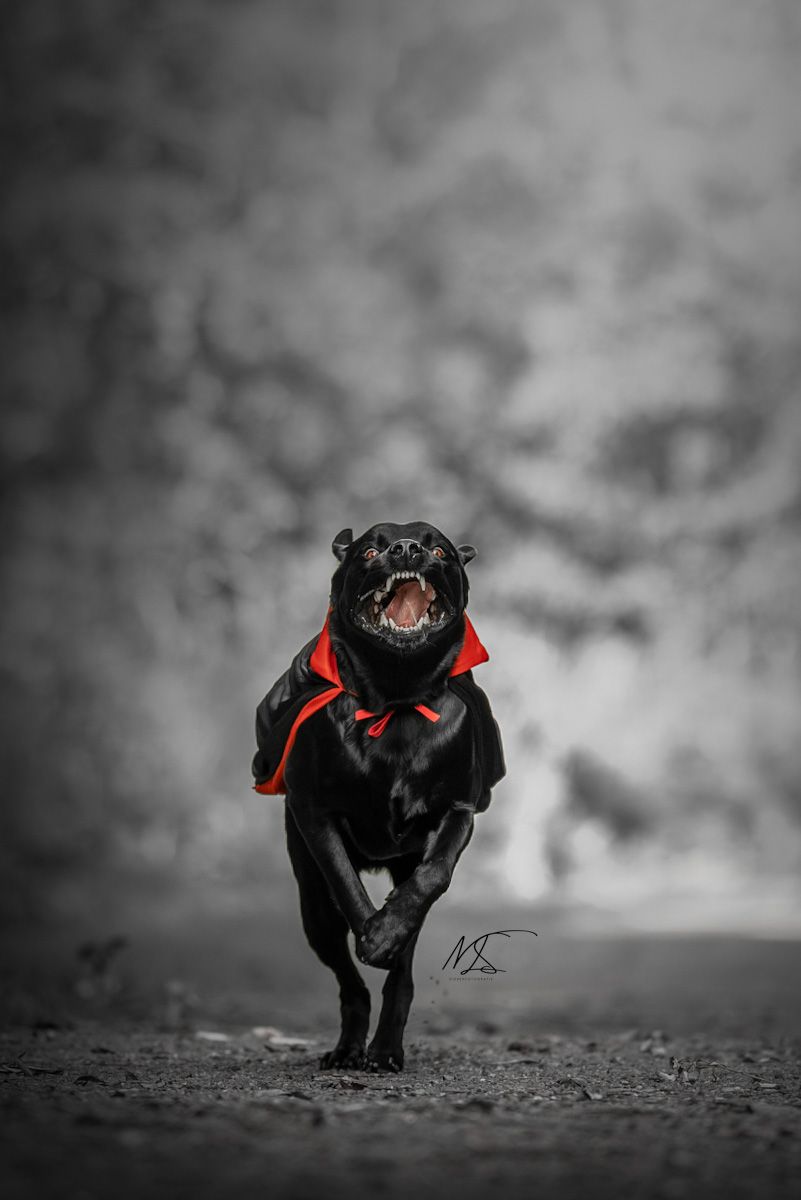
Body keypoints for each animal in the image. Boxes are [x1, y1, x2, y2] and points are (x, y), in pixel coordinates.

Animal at [252, 521, 504, 1071]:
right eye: (369, 550)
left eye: (439, 550)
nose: (406, 550)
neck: (397, 698)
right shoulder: (314, 812)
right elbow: (345, 882)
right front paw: (372, 935)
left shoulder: (458, 809)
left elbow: (434, 874)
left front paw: (386, 934)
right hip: (313, 913)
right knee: (350, 983)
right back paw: (349, 1048)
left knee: (401, 973)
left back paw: (386, 1048)